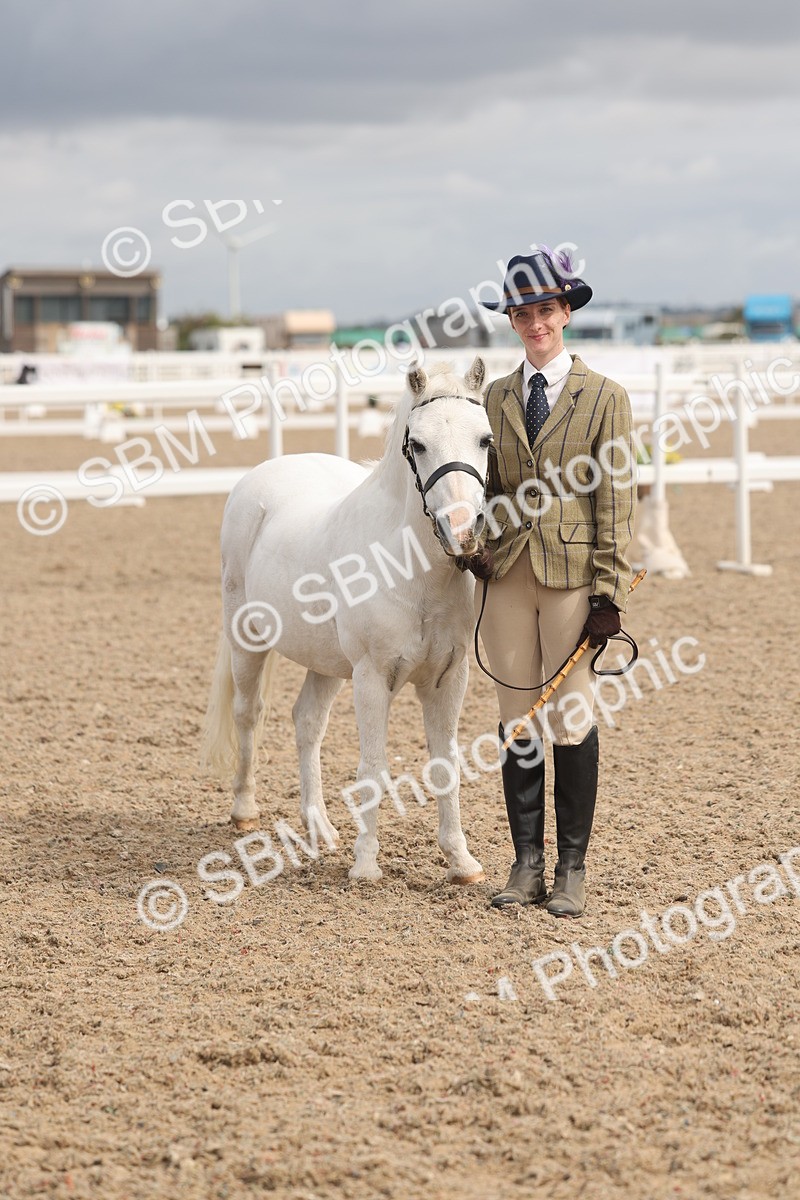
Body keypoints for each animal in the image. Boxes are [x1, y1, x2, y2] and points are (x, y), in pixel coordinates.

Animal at [202, 356, 493, 884]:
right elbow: (373, 768)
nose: (462, 531)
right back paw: (244, 810)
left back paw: (318, 828)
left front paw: (461, 862)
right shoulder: (372, 678)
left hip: (327, 664)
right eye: (418, 444)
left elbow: (446, 766)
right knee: (248, 714)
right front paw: (366, 864)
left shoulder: (448, 678)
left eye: (485, 438)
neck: (411, 570)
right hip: (247, 640)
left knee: (306, 723)